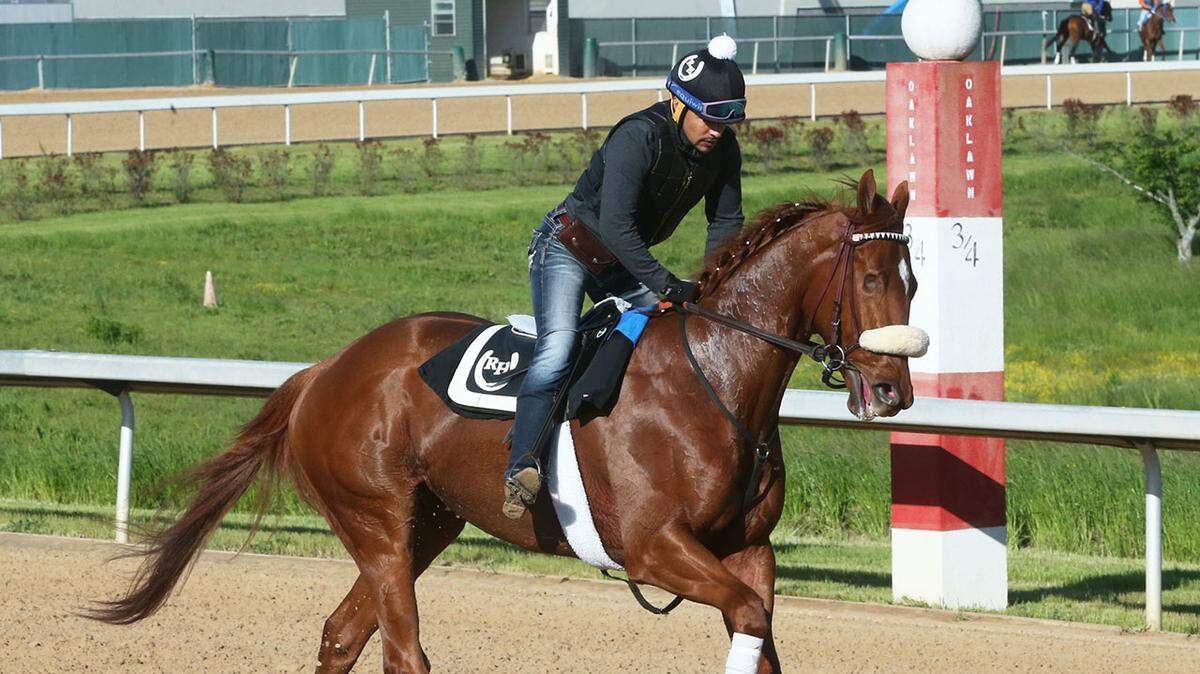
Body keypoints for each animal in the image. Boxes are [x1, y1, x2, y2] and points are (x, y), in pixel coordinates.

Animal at [86, 170, 921, 673]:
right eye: (870, 277)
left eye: (912, 281)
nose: (892, 392)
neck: (710, 379)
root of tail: (324, 371)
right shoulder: (655, 547)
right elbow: (745, 613)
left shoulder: (748, 550)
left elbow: (760, 630)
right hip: (377, 521)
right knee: (402, 651)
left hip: (428, 524)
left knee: (342, 635)